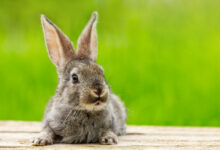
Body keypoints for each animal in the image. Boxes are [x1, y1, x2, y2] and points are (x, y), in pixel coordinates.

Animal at [31, 11, 126, 145]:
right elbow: (48, 130)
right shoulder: (51, 122)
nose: (98, 90)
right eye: (74, 77)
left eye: (102, 72)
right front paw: (40, 139)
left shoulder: (110, 123)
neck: (84, 110)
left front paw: (109, 138)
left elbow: (108, 130)